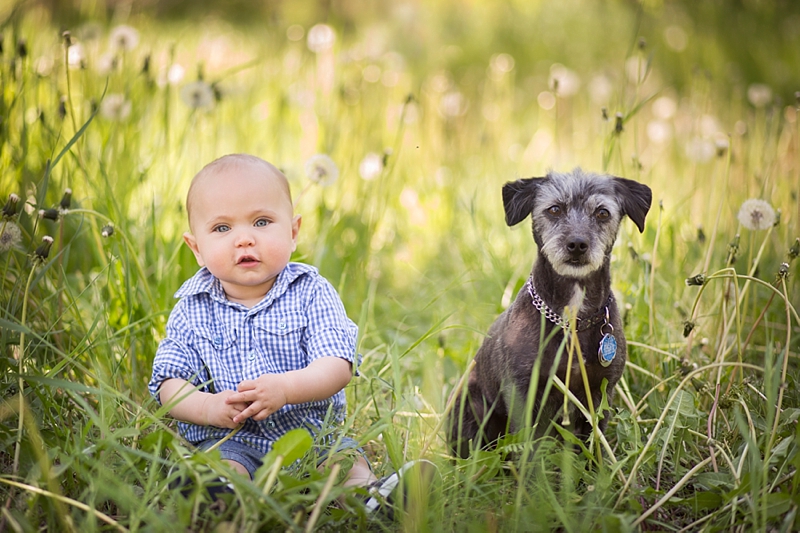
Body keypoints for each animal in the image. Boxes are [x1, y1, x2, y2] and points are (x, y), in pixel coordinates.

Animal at [450, 167, 648, 458]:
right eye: (554, 209)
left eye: (602, 212)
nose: (577, 244)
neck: (572, 319)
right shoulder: (522, 392)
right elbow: (527, 452)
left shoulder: (601, 392)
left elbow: (594, 447)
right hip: (470, 411)